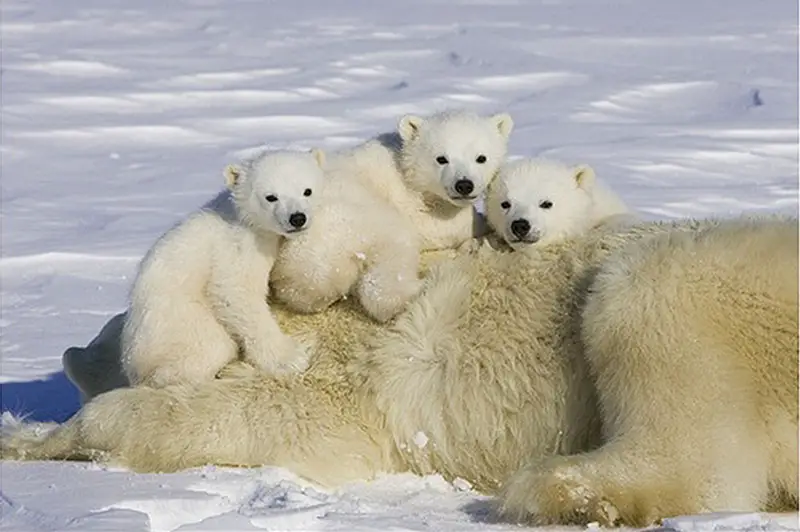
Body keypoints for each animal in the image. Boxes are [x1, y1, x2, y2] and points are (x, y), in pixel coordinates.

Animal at [121, 148, 322, 388]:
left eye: (307, 191)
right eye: (271, 197)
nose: (297, 218)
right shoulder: (238, 244)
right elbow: (235, 290)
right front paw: (291, 357)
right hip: (179, 321)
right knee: (208, 348)